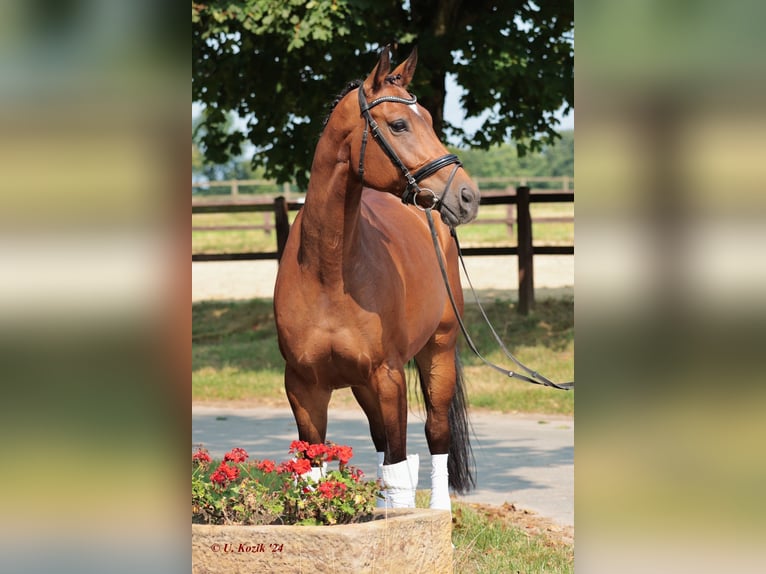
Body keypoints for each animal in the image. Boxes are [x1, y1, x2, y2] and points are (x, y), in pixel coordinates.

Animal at [274, 47, 480, 510]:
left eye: (430, 119)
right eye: (399, 123)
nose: (468, 197)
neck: (328, 272)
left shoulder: (389, 379)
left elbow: (401, 466)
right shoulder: (304, 387)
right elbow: (314, 470)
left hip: (438, 352)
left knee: (435, 435)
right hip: (362, 386)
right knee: (382, 442)